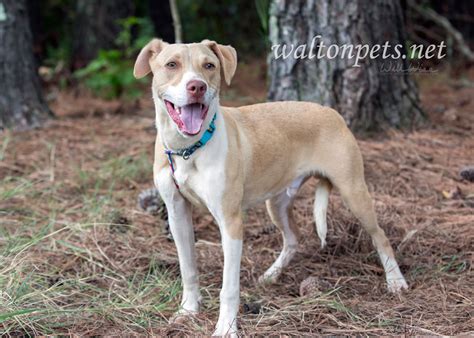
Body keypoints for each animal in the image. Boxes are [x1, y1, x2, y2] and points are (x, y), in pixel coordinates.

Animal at [133, 39, 408, 336]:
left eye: (209, 66)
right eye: (172, 64)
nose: (197, 87)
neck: (188, 149)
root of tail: (331, 112)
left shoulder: (231, 223)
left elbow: (229, 287)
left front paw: (226, 328)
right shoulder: (177, 214)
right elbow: (188, 269)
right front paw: (188, 310)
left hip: (353, 191)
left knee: (380, 236)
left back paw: (395, 281)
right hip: (276, 203)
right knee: (293, 239)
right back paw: (271, 275)